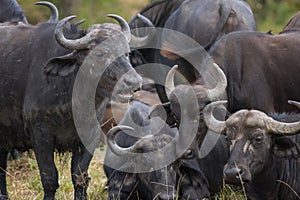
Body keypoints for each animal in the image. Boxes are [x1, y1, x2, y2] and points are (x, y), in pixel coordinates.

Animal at [0, 6, 142, 200]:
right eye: (100, 54)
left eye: (126, 52)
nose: (134, 81)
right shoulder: (40, 137)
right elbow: (49, 178)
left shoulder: (89, 138)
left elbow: (80, 177)